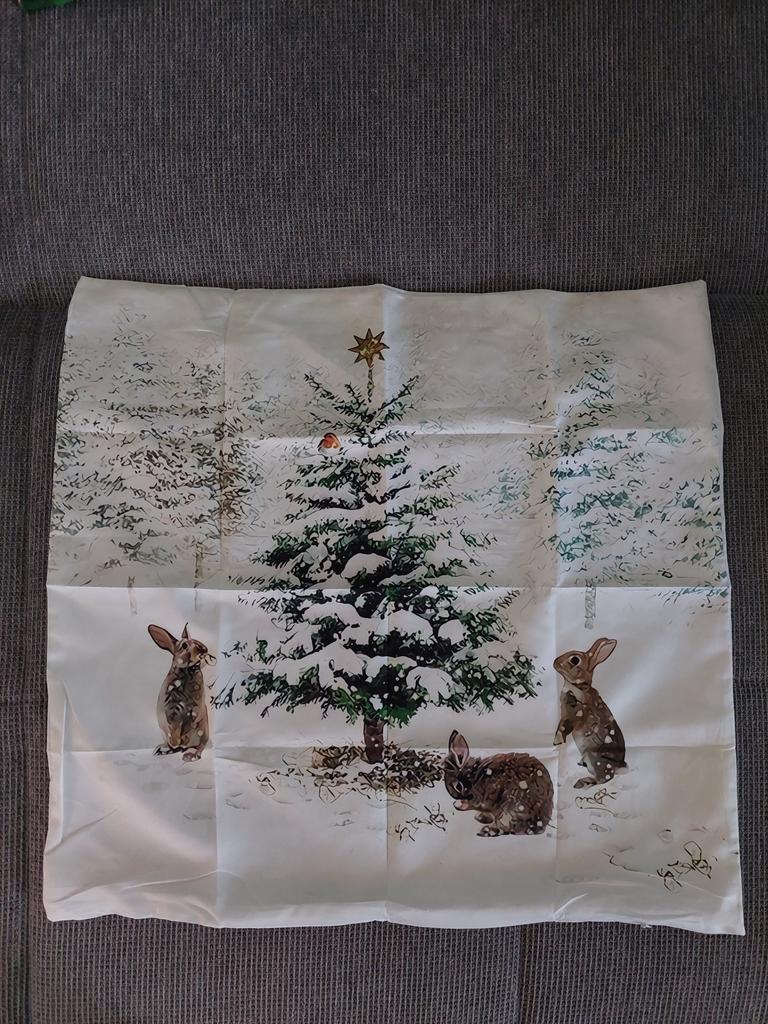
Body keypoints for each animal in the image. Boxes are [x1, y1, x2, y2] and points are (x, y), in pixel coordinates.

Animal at [148, 623, 215, 761]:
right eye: (184, 646)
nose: (204, 649)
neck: (187, 672)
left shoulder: (194, 711)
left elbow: (187, 726)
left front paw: (182, 743)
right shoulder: (170, 710)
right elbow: (173, 730)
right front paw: (175, 743)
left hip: (203, 730)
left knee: (200, 745)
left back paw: (190, 754)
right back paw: (163, 749)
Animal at [553, 637, 626, 788]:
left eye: (575, 660)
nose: (555, 661)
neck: (578, 686)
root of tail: (619, 766)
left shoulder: (572, 715)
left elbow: (563, 727)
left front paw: (557, 741)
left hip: (593, 757)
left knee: (604, 778)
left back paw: (583, 782)